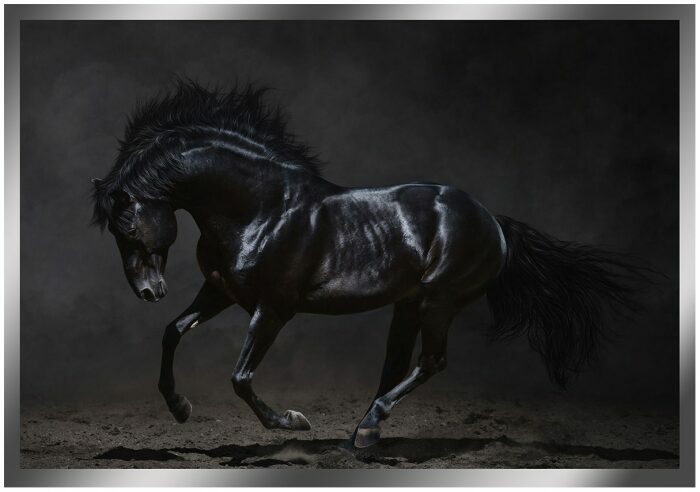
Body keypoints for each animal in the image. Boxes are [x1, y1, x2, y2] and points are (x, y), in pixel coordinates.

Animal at [91, 81, 648, 448]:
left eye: (128, 227)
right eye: (115, 233)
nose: (149, 291)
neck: (260, 208)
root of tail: (493, 221)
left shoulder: (273, 308)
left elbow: (241, 377)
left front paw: (292, 422)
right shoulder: (221, 292)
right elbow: (172, 332)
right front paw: (179, 408)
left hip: (440, 301)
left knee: (431, 362)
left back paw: (368, 428)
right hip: (409, 304)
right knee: (397, 365)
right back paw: (363, 432)